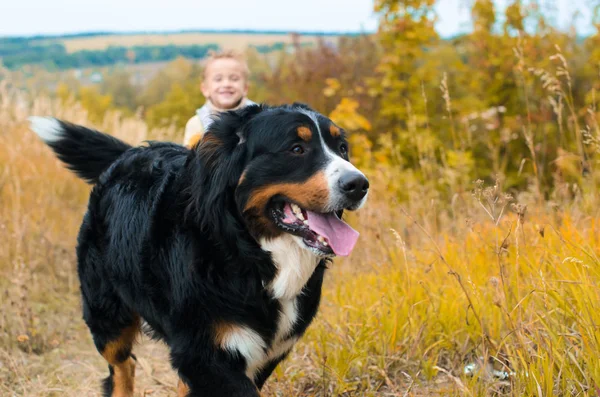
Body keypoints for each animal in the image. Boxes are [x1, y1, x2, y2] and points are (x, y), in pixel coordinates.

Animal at [29, 103, 370, 396]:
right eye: (296, 149)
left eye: (342, 148)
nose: (359, 184)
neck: (247, 251)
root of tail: (131, 153)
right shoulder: (204, 350)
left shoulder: (261, 354)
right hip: (108, 316)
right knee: (121, 368)